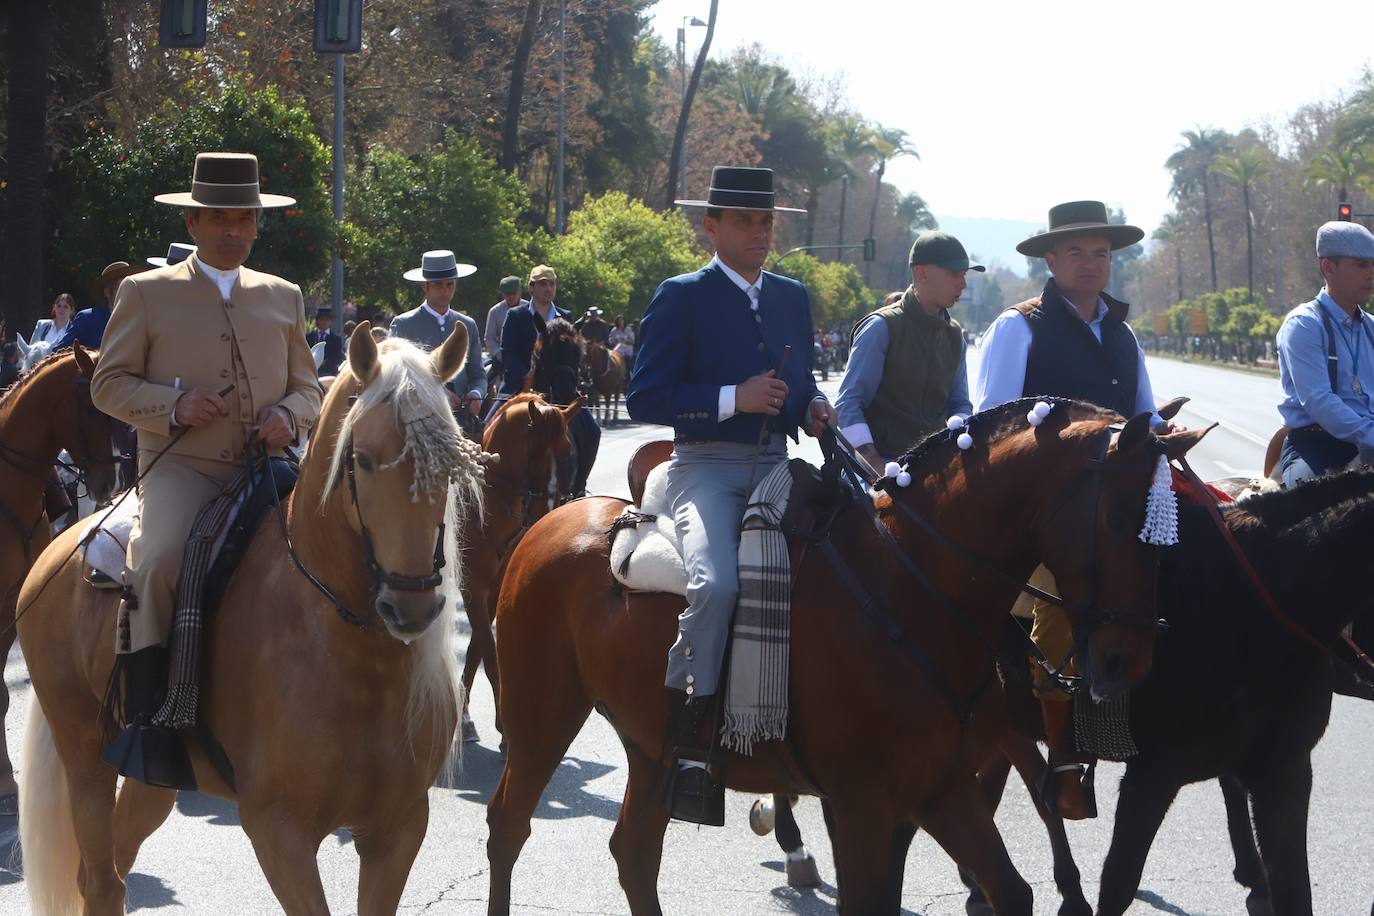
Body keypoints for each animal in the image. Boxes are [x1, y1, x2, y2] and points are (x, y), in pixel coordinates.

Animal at [18, 325, 486, 916]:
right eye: (362, 459)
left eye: (450, 467)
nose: (413, 607)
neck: (354, 658)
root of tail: (62, 547)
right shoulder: (278, 831)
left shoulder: (397, 829)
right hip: (84, 756)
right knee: (100, 881)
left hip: (152, 780)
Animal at [458, 395, 582, 747]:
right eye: (536, 451)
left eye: (568, 451)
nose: (549, 511)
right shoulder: (472, 587)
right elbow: (489, 655)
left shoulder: (492, 590)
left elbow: (476, 650)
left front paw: (468, 717)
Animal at [489, 401, 1209, 916]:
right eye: (1117, 519)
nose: (1126, 661)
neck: (909, 587)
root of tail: (548, 522)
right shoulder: (864, 804)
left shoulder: (941, 788)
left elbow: (1011, 891)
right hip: (541, 717)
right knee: (507, 827)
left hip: (651, 743)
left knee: (634, 853)